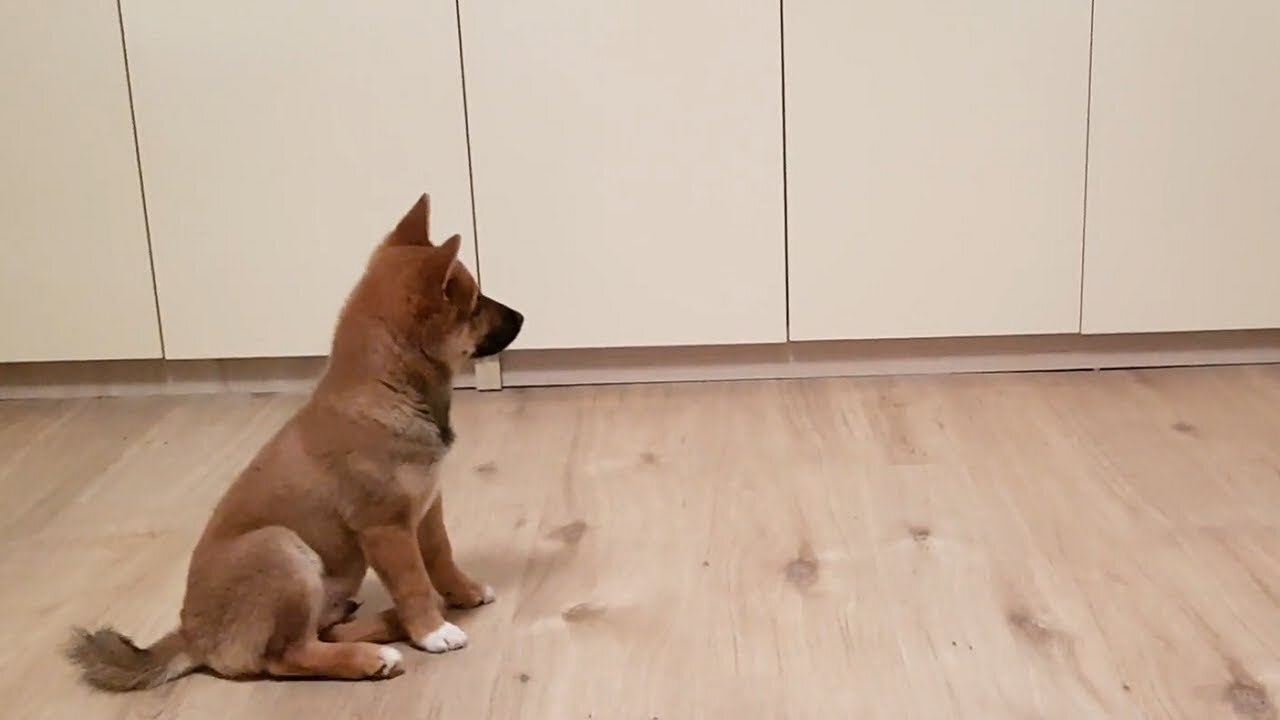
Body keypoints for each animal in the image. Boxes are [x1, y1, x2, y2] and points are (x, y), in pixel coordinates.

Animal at [63, 193, 524, 686]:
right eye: (475, 306)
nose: (523, 316)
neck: (389, 389)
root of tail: (193, 636)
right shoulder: (385, 527)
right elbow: (413, 581)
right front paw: (432, 631)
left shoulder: (426, 508)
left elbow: (441, 557)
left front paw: (464, 592)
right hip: (281, 549)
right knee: (288, 655)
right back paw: (373, 656)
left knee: (324, 631)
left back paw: (385, 624)